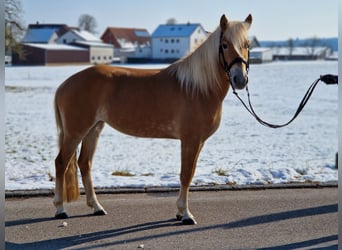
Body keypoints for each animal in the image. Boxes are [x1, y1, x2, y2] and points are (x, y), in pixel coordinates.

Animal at [53, 13, 251, 225]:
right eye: (224, 45)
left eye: (247, 45)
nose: (240, 79)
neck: (197, 88)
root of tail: (65, 84)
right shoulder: (190, 140)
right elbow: (186, 175)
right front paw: (186, 214)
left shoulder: (199, 142)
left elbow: (189, 174)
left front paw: (180, 212)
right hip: (76, 132)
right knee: (61, 163)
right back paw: (60, 209)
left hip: (94, 129)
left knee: (84, 163)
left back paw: (96, 207)